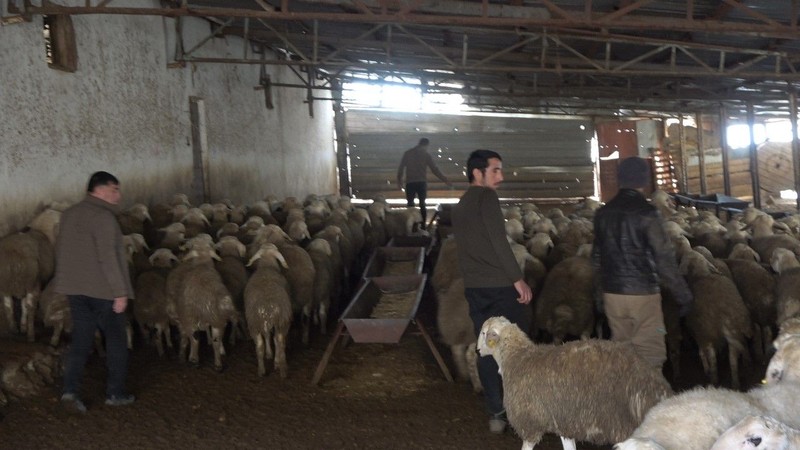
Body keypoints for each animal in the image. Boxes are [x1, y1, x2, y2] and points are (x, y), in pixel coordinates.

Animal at [0, 207, 59, 342]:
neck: (43, 232)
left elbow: (22, 306)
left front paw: (22, 327)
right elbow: (26, 307)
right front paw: (25, 328)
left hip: (5, 285)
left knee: (8, 306)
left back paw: (13, 329)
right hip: (33, 283)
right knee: (31, 308)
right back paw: (31, 335)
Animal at [478, 316, 672, 450]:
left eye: (484, 333)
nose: (477, 350)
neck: (516, 357)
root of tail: (657, 387)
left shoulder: (529, 422)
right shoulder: (565, 423)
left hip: (623, 424)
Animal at [680, 248, 752, 388]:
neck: (700, 275)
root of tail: (724, 314)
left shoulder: (699, 332)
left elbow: (701, 351)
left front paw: (706, 368)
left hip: (708, 332)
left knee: (713, 358)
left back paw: (713, 378)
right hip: (735, 331)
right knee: (733, 360)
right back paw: (735, 383)